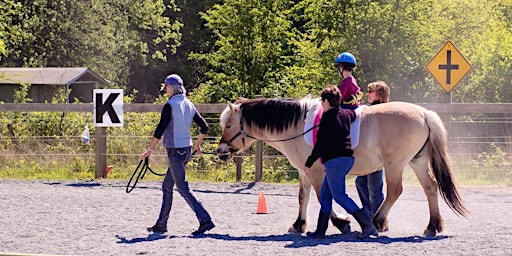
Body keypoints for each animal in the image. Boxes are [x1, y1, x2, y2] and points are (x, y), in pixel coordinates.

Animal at [216, 97, 468, 237]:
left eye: (228, 125)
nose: (221, 151)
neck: (298, 125)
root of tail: (424, 113)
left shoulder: (317, 172)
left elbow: (322, 197)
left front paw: (341, 223)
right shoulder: (304, 171)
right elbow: (303, 197)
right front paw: (298, 225)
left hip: (394, 164)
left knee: (395, 190)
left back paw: (376, 221)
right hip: (417, 161)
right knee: (430, 188)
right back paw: (432, 226)